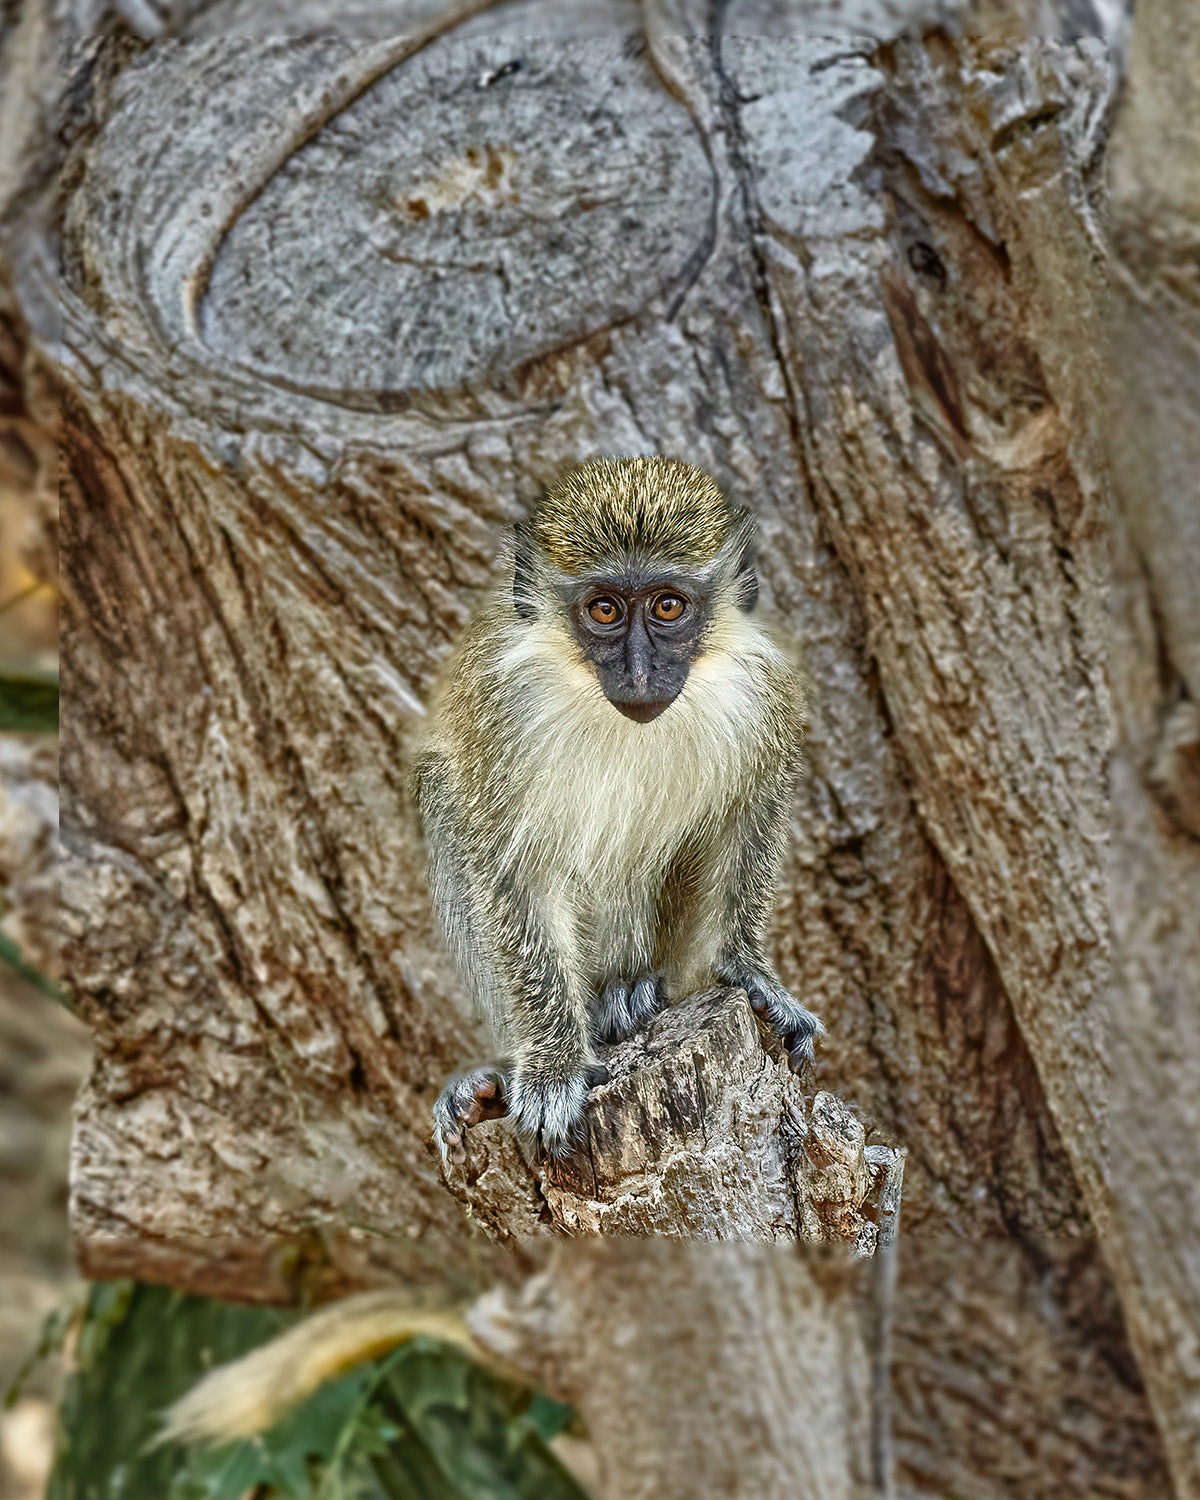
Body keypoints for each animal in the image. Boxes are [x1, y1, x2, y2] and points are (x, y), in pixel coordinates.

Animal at [415, 455, 823, 1161]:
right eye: (604, 609)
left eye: (667, 605)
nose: (638, 674)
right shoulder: (503, 709)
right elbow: (511, 866)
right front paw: (552, 1067)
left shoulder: (763, 692)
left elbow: (746, 822)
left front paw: (747, 973)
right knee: (442, 794)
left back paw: (630, 997)